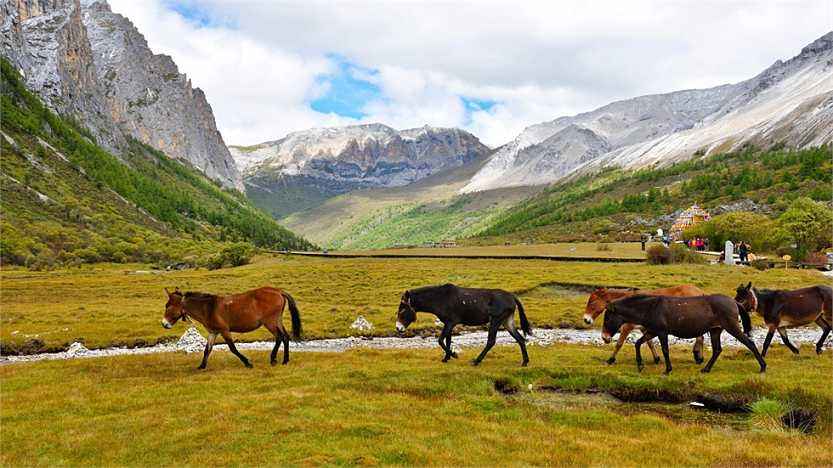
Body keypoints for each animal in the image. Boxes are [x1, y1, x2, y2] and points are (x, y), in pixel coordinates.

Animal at [161, 286, 300, 370]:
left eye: (168, 306)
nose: (164, 324)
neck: (209, 308)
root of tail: (278, 291)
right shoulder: (213, 332)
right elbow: (207, 350)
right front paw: (202, 366)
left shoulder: (224, 331)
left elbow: (233, 348)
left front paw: (247, 363)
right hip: (277, 321)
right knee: (285, 337)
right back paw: (285, 360)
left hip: (270, 322)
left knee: (279, 337)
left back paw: (273, 359)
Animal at [394, 284, 528, 368]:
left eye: (402, 311)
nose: (398, 328)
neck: (440, 298)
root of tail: (512, 296)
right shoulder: (448, 324)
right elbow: (448, 340)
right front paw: (446, 358)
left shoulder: (450, 323)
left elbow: (440, 340)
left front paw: (454, 355)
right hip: (507, 322)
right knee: (520, 339)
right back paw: (525, 362)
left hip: (496, 321)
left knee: (491, 341)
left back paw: (476, 361)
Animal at [580, 286, 708, 366]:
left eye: (591, 302)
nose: (586, 319)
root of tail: (699, 291)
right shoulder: (644, 327)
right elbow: (649, 343)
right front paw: (656, 359)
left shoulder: (627, 327)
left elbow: (619, 344)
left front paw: (610, 360)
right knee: (700, 337)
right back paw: (698, 357)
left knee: (700, 337)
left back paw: (698, 357)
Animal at [600, 294, 764, 374]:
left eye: (607, 318)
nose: (604, 337)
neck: (650, 307)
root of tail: (734, 302)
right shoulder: (653, 331)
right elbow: (638, 343)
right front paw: (640, 365)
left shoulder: (662, 332)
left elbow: (665, 350)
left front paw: (668, 369)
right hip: (715, 330)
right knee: (717, 350)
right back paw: (706, 369)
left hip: (731, 327)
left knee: (749, 343)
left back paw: (762, 366)